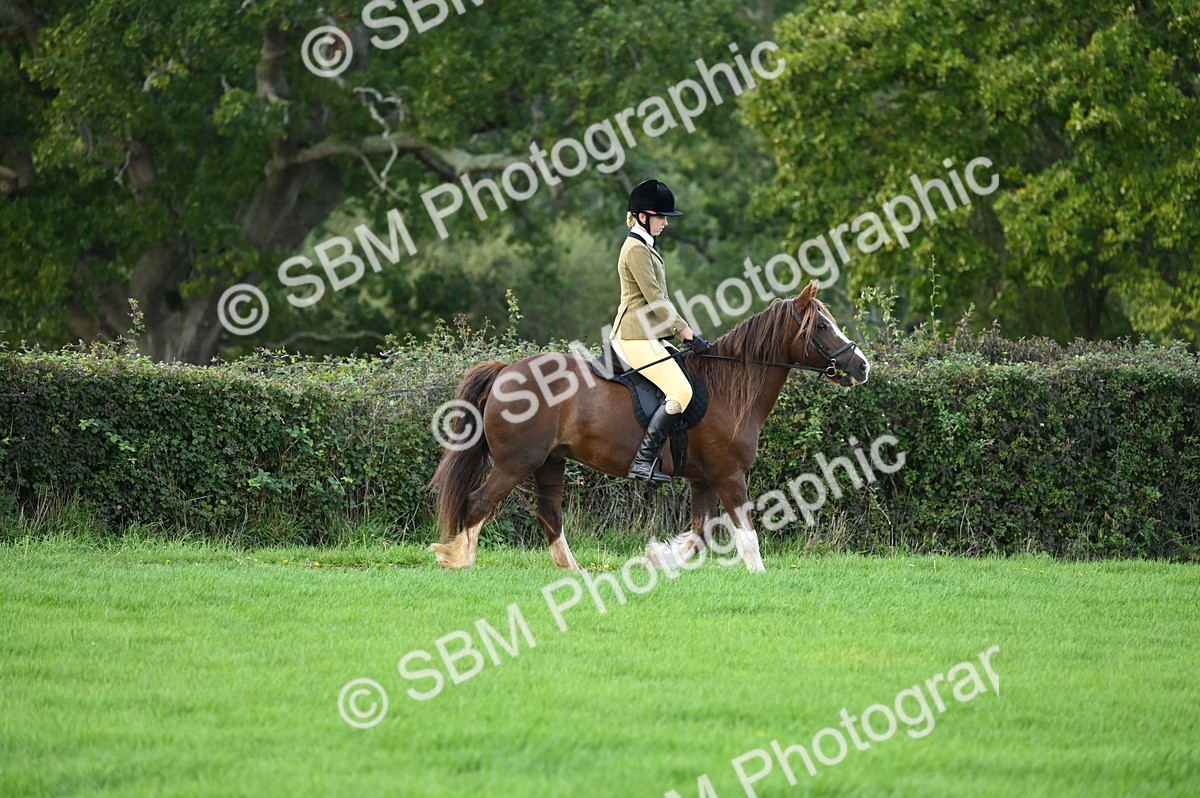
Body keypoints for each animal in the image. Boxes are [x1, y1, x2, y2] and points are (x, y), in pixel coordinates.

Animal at [428, 280, 871, 572]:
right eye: (822, 327)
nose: (862, 366)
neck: (729, 387)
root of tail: (507, 371)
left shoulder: (704, 479)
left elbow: (699, 537)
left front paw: (657, 557)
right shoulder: (729, 476)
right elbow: (746, 536)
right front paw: (759, 576)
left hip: (550, 462)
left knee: (549, 515)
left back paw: (574, 571)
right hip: (516, 462)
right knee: (479, 502)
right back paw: (458, 560)